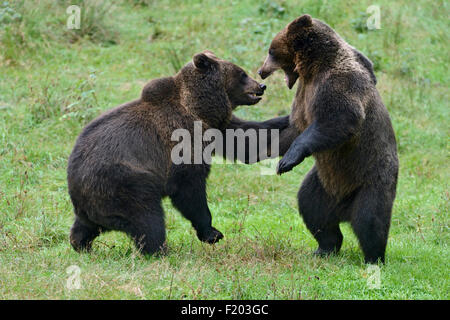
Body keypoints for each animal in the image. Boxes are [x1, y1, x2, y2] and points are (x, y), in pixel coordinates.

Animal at [69, 50, 288, 255]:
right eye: (241, 73)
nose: (261, 86)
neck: (200, 109)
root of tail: (76, 188)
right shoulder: (182, 140)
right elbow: (189, 188)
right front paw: (212, 232)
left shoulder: (217, 128)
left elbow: (248, 138)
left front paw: (286, 119)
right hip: (123, 181)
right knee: (147, 217)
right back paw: (159, 250)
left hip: (96, 202)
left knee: (85, 226)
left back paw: (81, 243)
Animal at [258, 15, 400, 264]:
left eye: (271, 51)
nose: (261, 71)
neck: (313, 68)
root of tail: (344, 208)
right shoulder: (304, 96)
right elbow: (294, 127)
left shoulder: (338, 83)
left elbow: (340, 118)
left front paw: (287, 160)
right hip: (323, 183)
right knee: (312, 207)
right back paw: (325, 247)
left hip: (373, 178)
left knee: (370, 219)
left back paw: (374, 258)